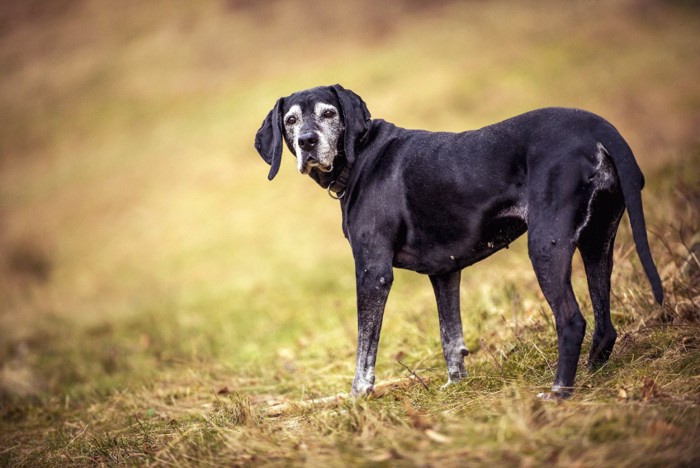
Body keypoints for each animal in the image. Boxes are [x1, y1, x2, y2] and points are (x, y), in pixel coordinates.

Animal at [253, 85, 660, 398]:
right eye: (290, 121)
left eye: (329, 114)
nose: (307, 141)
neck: (360, 156)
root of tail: (598, 127)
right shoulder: (444, 272)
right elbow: (450, 335)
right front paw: (456, 385)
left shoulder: (373, 272)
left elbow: (365, 347)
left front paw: (357, 396)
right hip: (597, 241)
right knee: (604, 324)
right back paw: (591, 375)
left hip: (547, 244)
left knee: (572, 321)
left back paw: (559, 391)